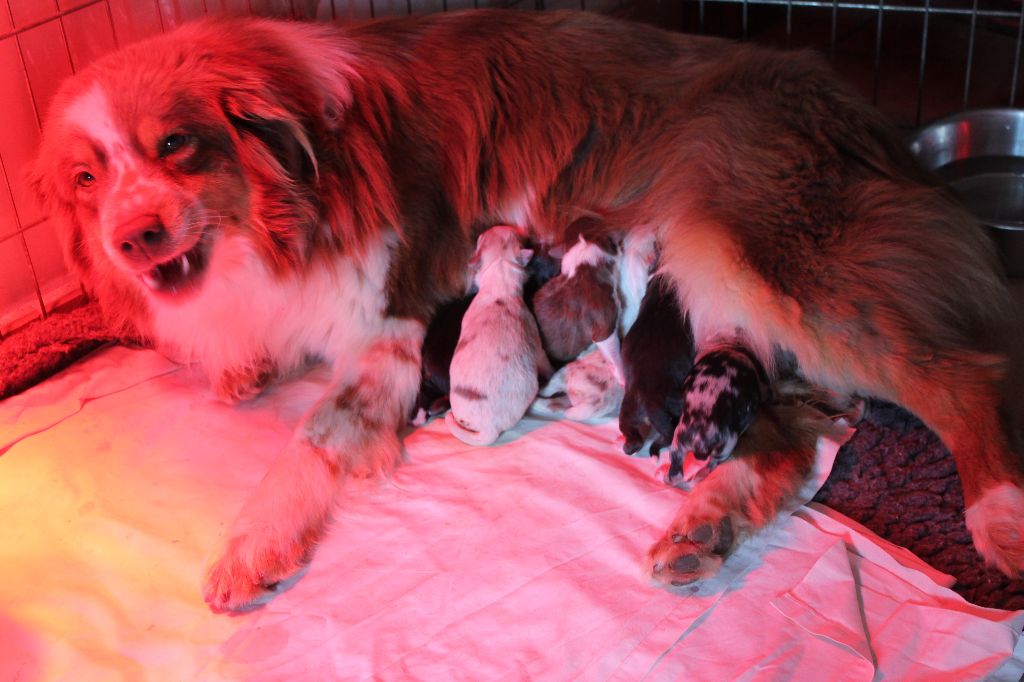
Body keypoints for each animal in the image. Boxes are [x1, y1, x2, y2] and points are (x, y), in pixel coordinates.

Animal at [614, 274, 696, 454]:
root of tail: (650, 403)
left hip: (628, 412)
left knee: (633, 437)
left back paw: (627, 446)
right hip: (677, 404)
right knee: (669, 435)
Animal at [667, 346, 770, 483]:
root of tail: (699, 438)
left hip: (679, 437)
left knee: (676, 461)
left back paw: (670, 479)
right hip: (728, 444)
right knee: (713, 462)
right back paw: (698, 477)